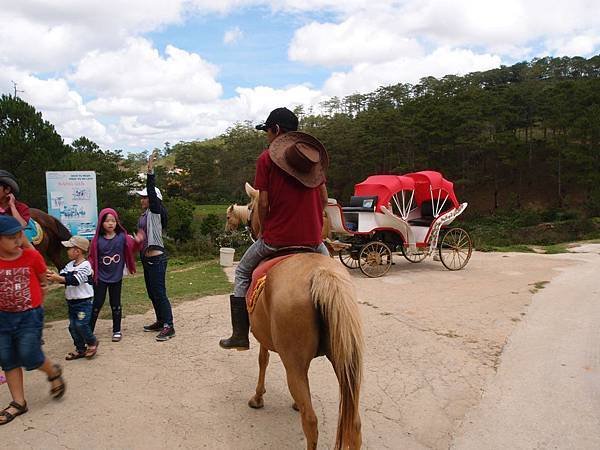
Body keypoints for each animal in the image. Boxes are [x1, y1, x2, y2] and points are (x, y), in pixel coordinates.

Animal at [247, 253, 364, 450]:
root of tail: (321, 273)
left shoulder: (265, 340)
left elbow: (263, 360)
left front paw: (258, 398)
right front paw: (296, 403)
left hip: (294, 366)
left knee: (310, 421)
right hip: (343, 362)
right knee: (355, 424)